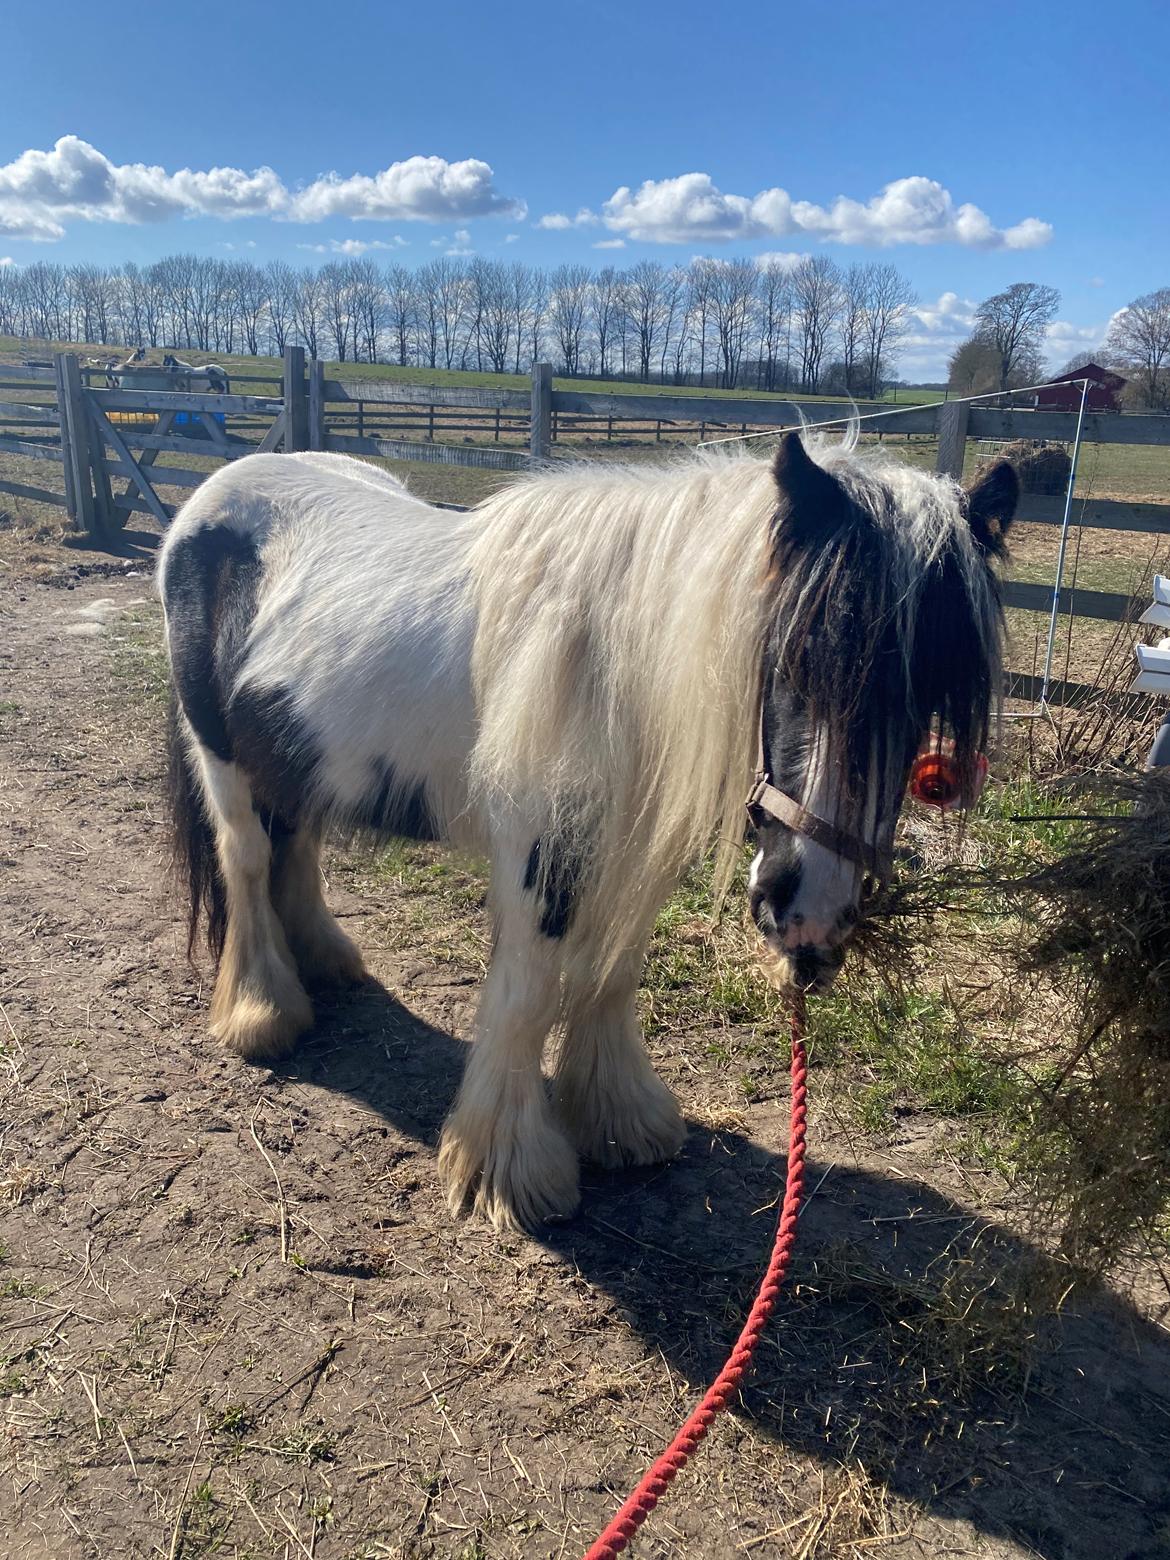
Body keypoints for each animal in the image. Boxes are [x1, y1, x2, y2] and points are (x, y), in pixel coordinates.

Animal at [158, 436, 1017, 1229]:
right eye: (798, 661)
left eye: (928, 698)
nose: (811, 917)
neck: (608, 667)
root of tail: (212, 496)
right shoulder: (541, 857)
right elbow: (530, 993)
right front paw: (506, 1169)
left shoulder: (633, 853)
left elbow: (614, 969)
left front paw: (619, 1118)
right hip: (222, 759)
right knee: (247, 860)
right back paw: (263, 1013)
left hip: (295, 759)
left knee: (296, 846)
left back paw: (326, 962)